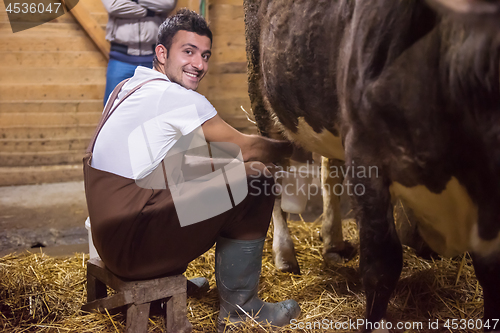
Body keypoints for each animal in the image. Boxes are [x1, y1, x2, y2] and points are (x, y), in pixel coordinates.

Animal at [244, 0, 500, 330]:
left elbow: (490, 274)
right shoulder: (367, 157)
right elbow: (382, 264)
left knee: (330, 170)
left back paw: (333, 243)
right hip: (262, 93)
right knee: (274, 172)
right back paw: (285, 254)